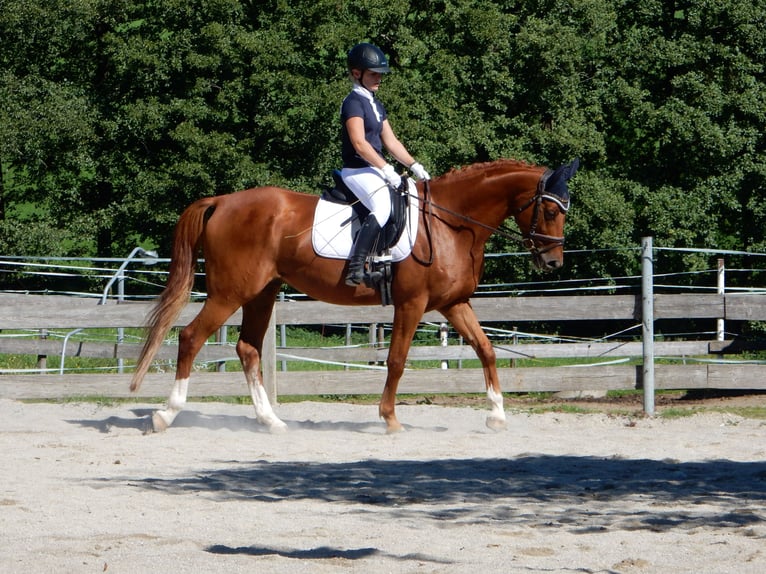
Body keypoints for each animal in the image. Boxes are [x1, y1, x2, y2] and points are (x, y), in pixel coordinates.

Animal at [130, 158, 579, 433]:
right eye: (550, 211)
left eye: (564, 210)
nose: (553, 262)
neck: (450, 223)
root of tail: (222, 201)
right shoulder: (412, 304)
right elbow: (396, 361)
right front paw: (390, 419)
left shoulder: (453, 304)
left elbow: (485, 349)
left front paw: (497, 416)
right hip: (229, 292)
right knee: (191, 338)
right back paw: (165, 415)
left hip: (261, 292)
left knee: (248, 349)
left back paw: (271, 421)